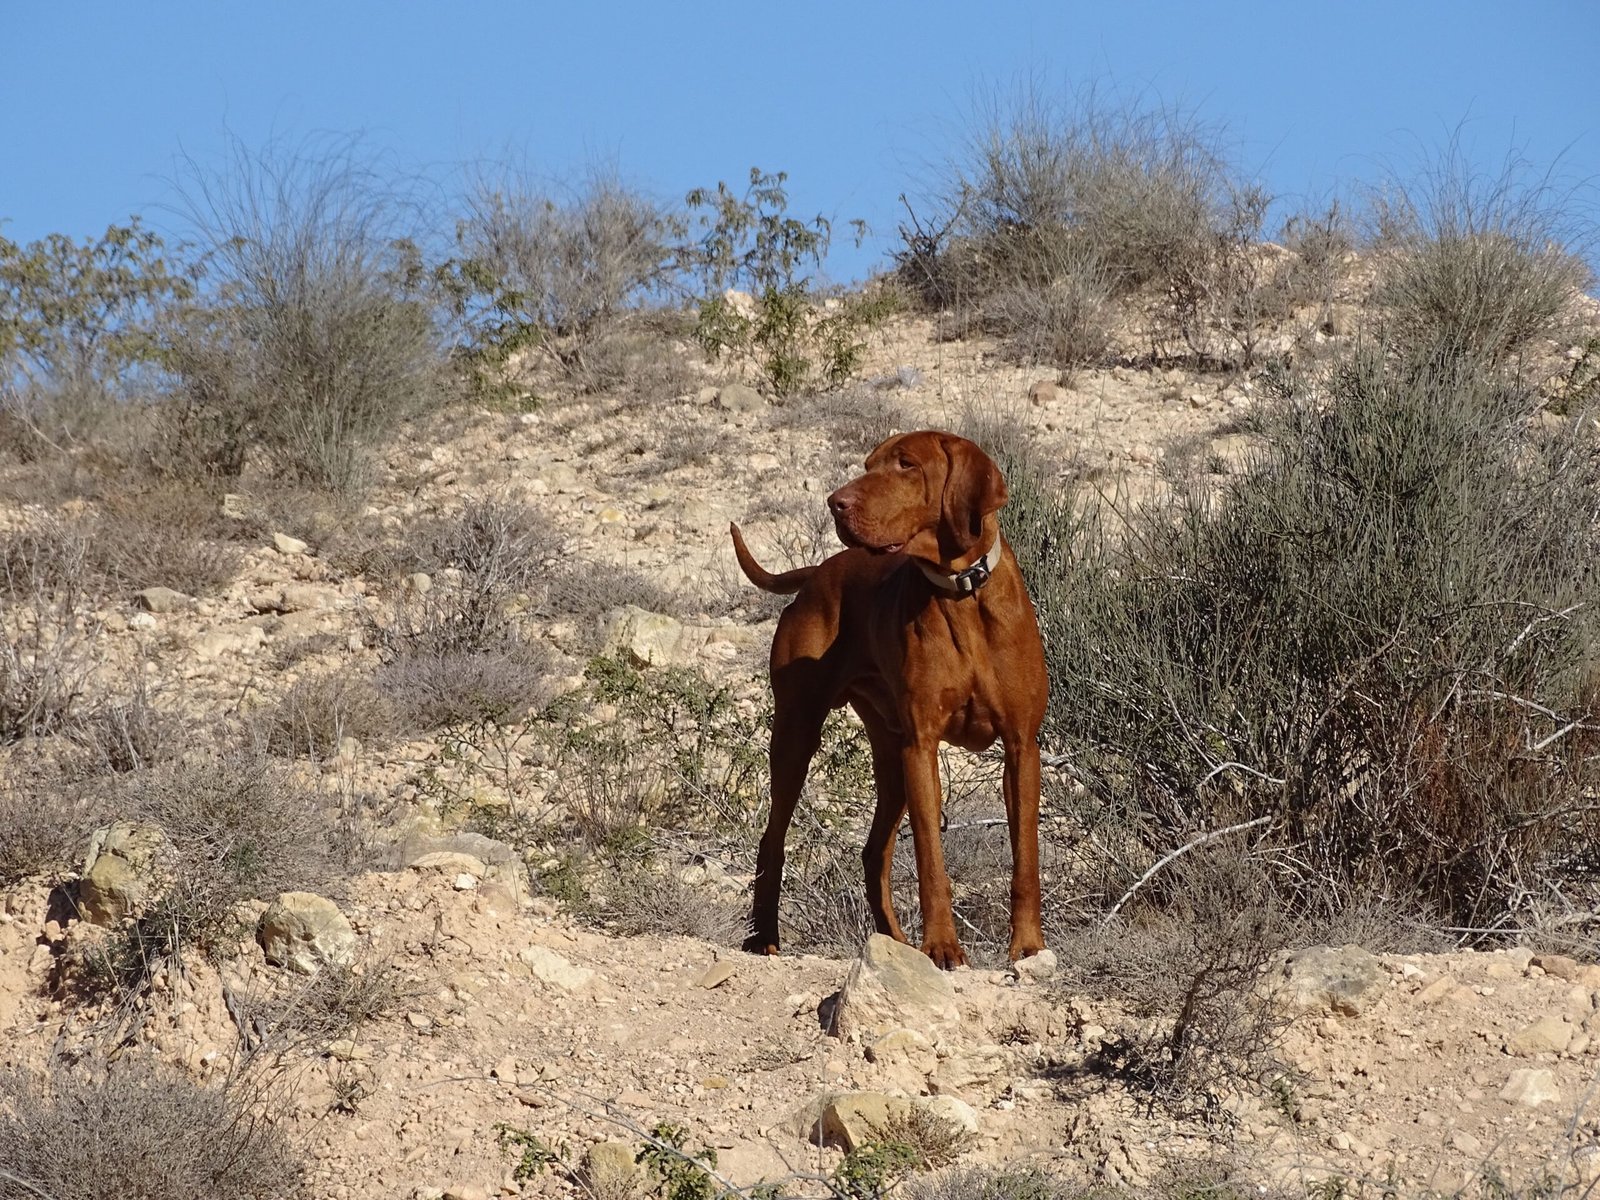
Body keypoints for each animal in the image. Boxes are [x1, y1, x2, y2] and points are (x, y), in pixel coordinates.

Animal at [729, 432, 1049, 966]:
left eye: (906, 465)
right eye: (868, 466)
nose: (836, 502)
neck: (961, 594)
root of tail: (818, 572)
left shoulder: (1021, 746)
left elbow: (1025, 857)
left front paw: (1027, 945)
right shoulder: (922, 747)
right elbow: (930, 861)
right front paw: (941, 946)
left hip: (890, 755)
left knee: (873, 851)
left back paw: (893, 941)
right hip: (797, 735)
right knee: (772, 840)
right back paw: (764, 937)